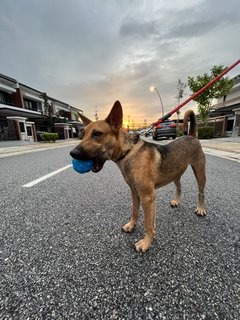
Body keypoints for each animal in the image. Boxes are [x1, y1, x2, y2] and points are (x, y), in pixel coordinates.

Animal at [70, 101, 206, 251]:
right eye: (83, 134)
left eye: (97, 134)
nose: (72, 153)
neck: (128, 152)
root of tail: (191, 136)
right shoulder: (135, 192)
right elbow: (135, 211)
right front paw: (132, 226)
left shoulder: (147, 197)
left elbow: (148, 223)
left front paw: (146, 242)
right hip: (175, 174)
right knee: (179, 187)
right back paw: (176, 201)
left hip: (199, 172)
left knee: (201, 192)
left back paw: (201, 208)